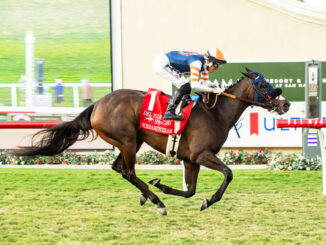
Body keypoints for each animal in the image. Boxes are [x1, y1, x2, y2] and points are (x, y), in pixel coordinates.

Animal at [12, 69, 290, 214]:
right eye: (263, 85)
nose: (285, 104)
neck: (216, 113)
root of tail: (97, 104)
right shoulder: (201, 155)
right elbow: (228, 174)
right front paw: (208, 200)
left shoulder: (190, 160)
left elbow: (190, 191)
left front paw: (164, 186)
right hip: (127, 141)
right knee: (128, 171)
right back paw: (157, 202)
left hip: (130, 141)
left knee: (119, 168)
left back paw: (149, 194)